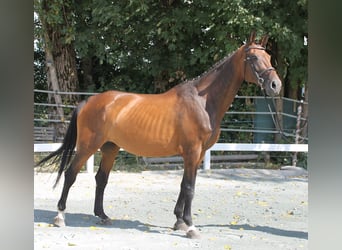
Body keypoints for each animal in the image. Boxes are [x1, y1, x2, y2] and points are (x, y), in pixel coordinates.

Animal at [35, 31, 280, 238]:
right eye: (253, 58)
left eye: (268, 55)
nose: (275, 85)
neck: (202, 102)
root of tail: (89, 101)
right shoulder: (192, 152)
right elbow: (189, 188)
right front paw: (190, 226)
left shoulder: (198, 154)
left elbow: (184, 185)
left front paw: (179, 221)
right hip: (87, 146)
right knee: (70, 175)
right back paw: (60, 216)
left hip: (110, 148)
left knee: (101, 179)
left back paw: (103, 216)